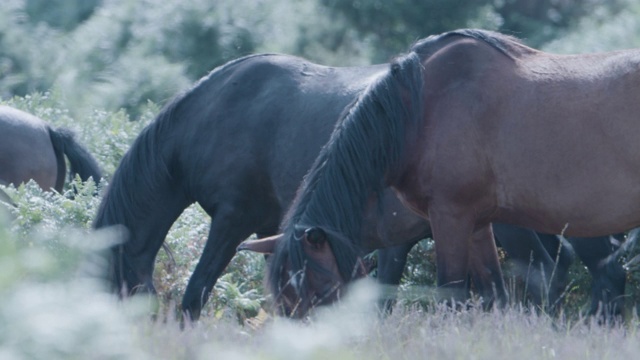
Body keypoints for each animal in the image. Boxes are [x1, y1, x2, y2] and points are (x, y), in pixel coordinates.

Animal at [241, 29, 636, 320]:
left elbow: (451, 293)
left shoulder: (450, 216)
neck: (419, 111)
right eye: (282, 299)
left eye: (321, 289)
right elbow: (493, 291)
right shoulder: (478, 223)